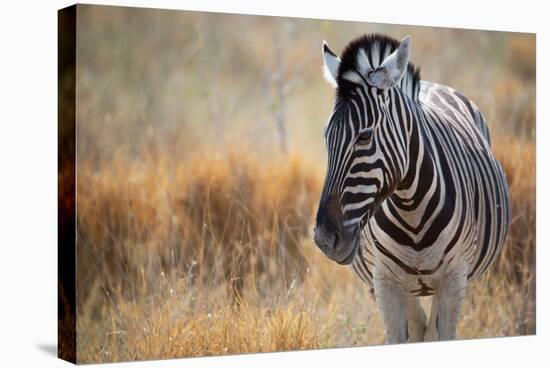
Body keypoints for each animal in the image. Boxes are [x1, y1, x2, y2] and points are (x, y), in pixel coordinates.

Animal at [312, 33, 512, 344]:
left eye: (364, 136)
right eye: (326, 136)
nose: (324, 239)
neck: (411, 209)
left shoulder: (454, 280)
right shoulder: (385, 283)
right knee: (419, 329)